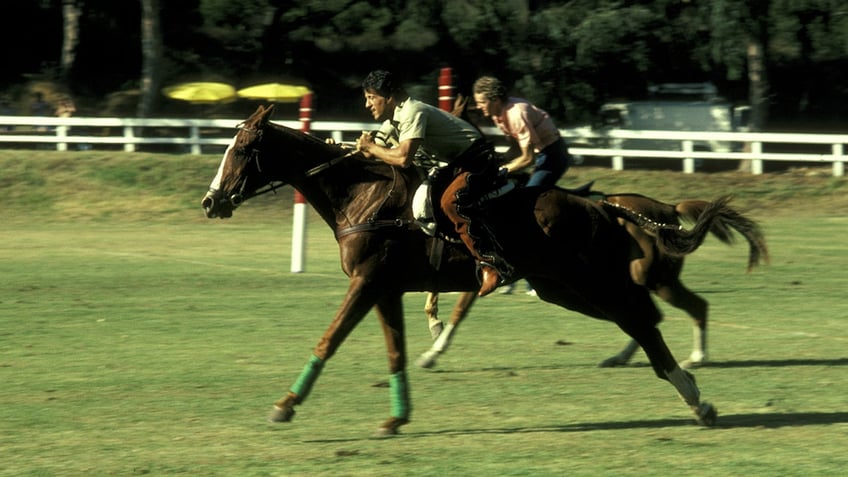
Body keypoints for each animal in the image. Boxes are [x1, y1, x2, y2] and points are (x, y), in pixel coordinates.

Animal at [199, 105, 728, 436]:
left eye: (241, 150)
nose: (211, 202)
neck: (362, 195)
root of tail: (600, 205)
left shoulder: (366, 282)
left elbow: (328, 340)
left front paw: (284, 406)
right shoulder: (385, 289)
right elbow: (395, 353)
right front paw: (397, 418)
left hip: (590, 282)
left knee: (644, 320)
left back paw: (696, 398)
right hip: (563, 289)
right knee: (640, 321)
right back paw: (688, 389)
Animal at [418, 192, 768, 368]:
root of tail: (667, 207)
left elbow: (458, 311)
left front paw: (432, 353)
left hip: (653, 279)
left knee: (688, 307)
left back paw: (697, 357)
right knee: (648, 316)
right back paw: (623, 356)